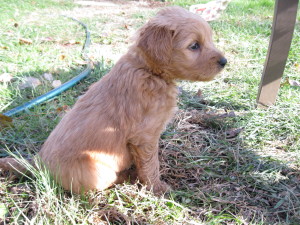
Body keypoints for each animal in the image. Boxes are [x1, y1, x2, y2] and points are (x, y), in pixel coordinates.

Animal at [0, 6, 226, 194]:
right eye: (194, 46)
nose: (224, 61)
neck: (147, 71)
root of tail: (37, 163)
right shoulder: (144, 137)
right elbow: (151, 165)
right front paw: (158, 188)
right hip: (97, 169)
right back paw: (127, 176)